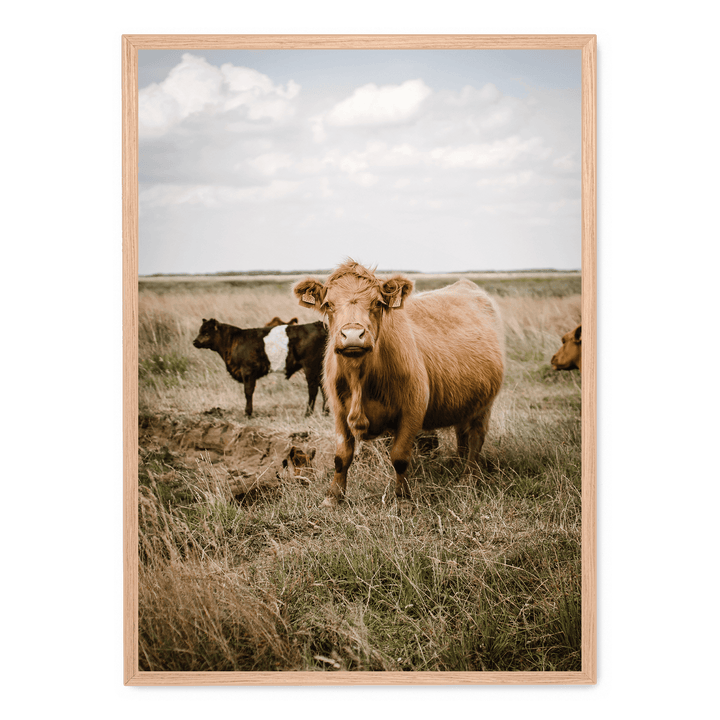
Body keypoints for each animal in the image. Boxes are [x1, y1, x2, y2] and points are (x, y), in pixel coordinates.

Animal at [192, 319, 328, 417]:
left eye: (206, 333)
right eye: (200, 331)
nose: (195, 342)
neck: (233, 341)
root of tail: (317, 324)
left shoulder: (248, 370)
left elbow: (248, 391)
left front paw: (248, 413)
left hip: (310, 366)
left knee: (313, 388)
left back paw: (308, 413)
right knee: (324, 387)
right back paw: (325, 412)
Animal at [293, 260, 504, 508]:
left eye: (377, 302)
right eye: (328, 304)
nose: (353, 335)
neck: (360, 379)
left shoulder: (412, 410)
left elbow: (400, 457)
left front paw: (403, 499)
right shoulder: (338, 411)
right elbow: (341, 456)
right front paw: (333, 497)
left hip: (485, 404)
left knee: (476, 437)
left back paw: (469, 477)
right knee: (462, 432)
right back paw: (459, 464)